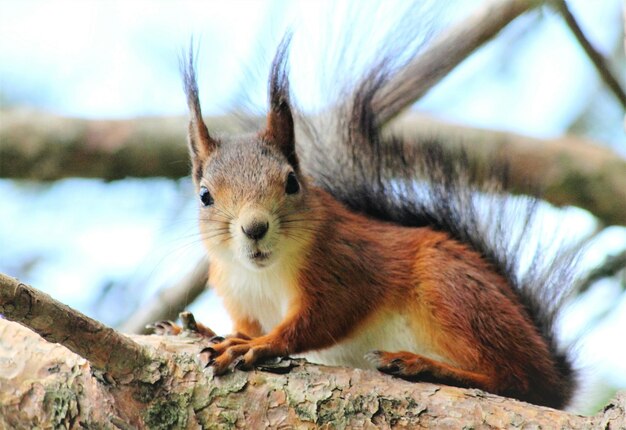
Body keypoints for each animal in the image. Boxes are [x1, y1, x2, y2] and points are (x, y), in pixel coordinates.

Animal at [167, 31, 580, 408]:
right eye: (205, 196)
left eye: (292, 182)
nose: (254, 228)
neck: (262, 275)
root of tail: (556, 379)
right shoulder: (238, 295)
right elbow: (243, 325)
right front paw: (201, 328)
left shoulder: (346, 265)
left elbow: (321, 318)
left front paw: (259, 344)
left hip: (449, 287)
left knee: (516, 381)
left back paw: (421, 365)